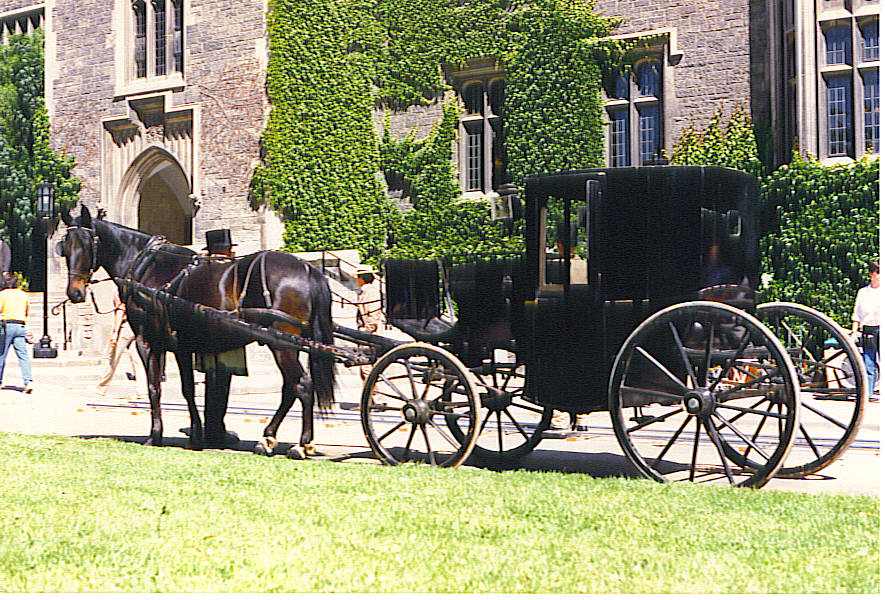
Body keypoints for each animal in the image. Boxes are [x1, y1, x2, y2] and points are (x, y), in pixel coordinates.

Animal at [58, 204, 334, 458]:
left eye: (86, 244)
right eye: (65, 247)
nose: (75, 293)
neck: (147, 266)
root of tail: (307, 268)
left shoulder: (149, 341)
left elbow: (157, 387)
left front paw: (156, 435)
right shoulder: (184, 345)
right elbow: (189, 389)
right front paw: (197, 434)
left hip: (282, 344)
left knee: (302, 385)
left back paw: (301, 444)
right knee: (291, 387)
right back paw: (268, 438)